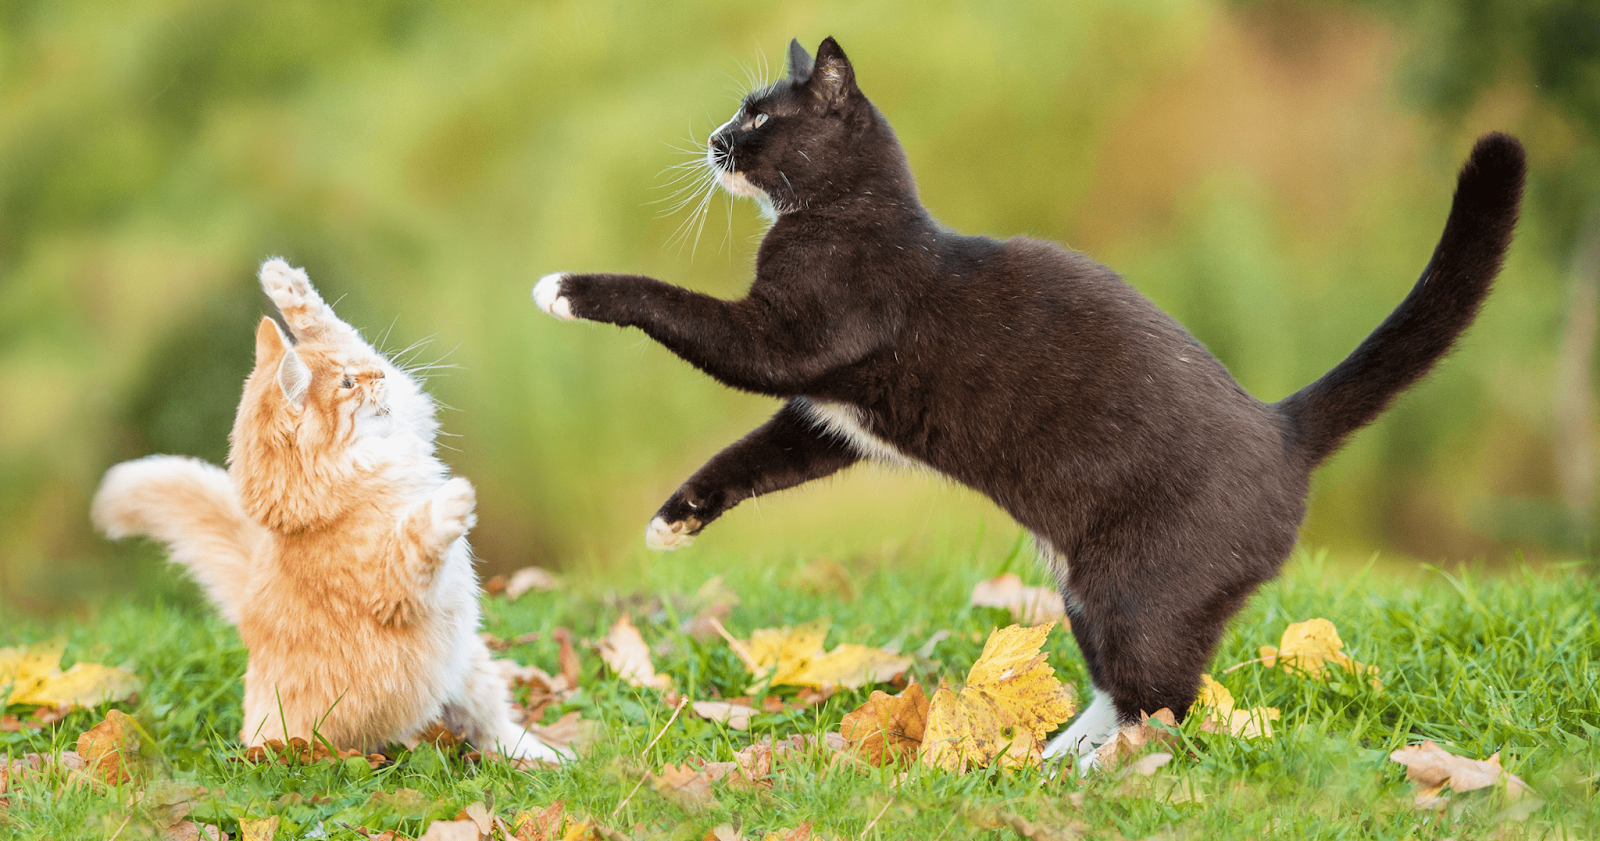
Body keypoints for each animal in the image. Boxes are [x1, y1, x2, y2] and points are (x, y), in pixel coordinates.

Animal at [95, 259, 563, 764]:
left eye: (352, 371)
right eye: (347, 383)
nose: (377, 374)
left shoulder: (409, 414)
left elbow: (333, 326)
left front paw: (285, 286)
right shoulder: (393, 589)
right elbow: (416, 535)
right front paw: (452, 500)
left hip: (470, 670)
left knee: (496, 729)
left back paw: (552, 757)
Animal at [537, 37, 1523, 764]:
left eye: (759, 115)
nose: (712, 137)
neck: (850, 214)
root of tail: (1283, 427)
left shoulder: (785, 342)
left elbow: (675, 305)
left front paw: (565, 288)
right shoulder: (834, 420)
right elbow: (753, 458)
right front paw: (675, 519)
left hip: (1138, 586)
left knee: (1166, 699)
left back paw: (1095, 770)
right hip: (1091, 590)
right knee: (1133, 688)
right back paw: (1051, 755)